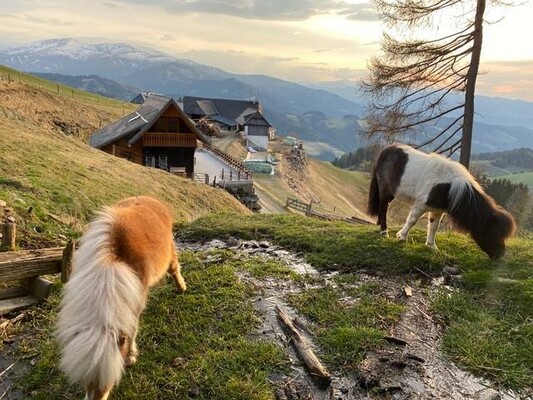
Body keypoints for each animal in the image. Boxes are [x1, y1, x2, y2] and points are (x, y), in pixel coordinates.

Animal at [56, 195, 187, 398]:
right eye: (85, 383)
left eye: (107, 383)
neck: (111, 260)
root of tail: (149, 198)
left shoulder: (136, 298)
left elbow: (132, 327)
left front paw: (131, 356)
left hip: (170, 249)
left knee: (173, 268)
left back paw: (181, 287)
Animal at [366, 145, 516, 260]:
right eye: (494, 232)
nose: (500, 255)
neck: (450, 188)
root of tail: (386, 150)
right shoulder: (420, 205)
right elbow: (412, 221)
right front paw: (402, 236)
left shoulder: (437, 211)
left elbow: (434, 227)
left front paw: (432, 246)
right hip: (385, 190)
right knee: (383, 207)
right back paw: (384, 231)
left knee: (382, 208)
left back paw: (380, 225)